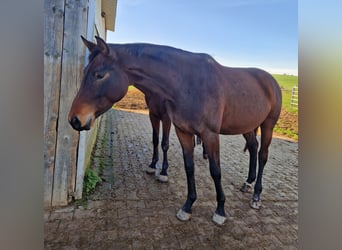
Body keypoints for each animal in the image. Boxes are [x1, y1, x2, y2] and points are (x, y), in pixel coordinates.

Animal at [68, 36, 282, 226]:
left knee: (262, 155)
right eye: (86, 72)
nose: (74, 119)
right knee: (253, 147)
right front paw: (188, 206)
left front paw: (220, 210)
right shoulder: (182, 131)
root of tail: (271, 80)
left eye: (100, 75)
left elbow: (215, 171)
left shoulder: (210, 135)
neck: (186, 83)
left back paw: (256, 196)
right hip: (247, 126)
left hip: (268, 125)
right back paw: (248, 183)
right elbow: (188, 167)